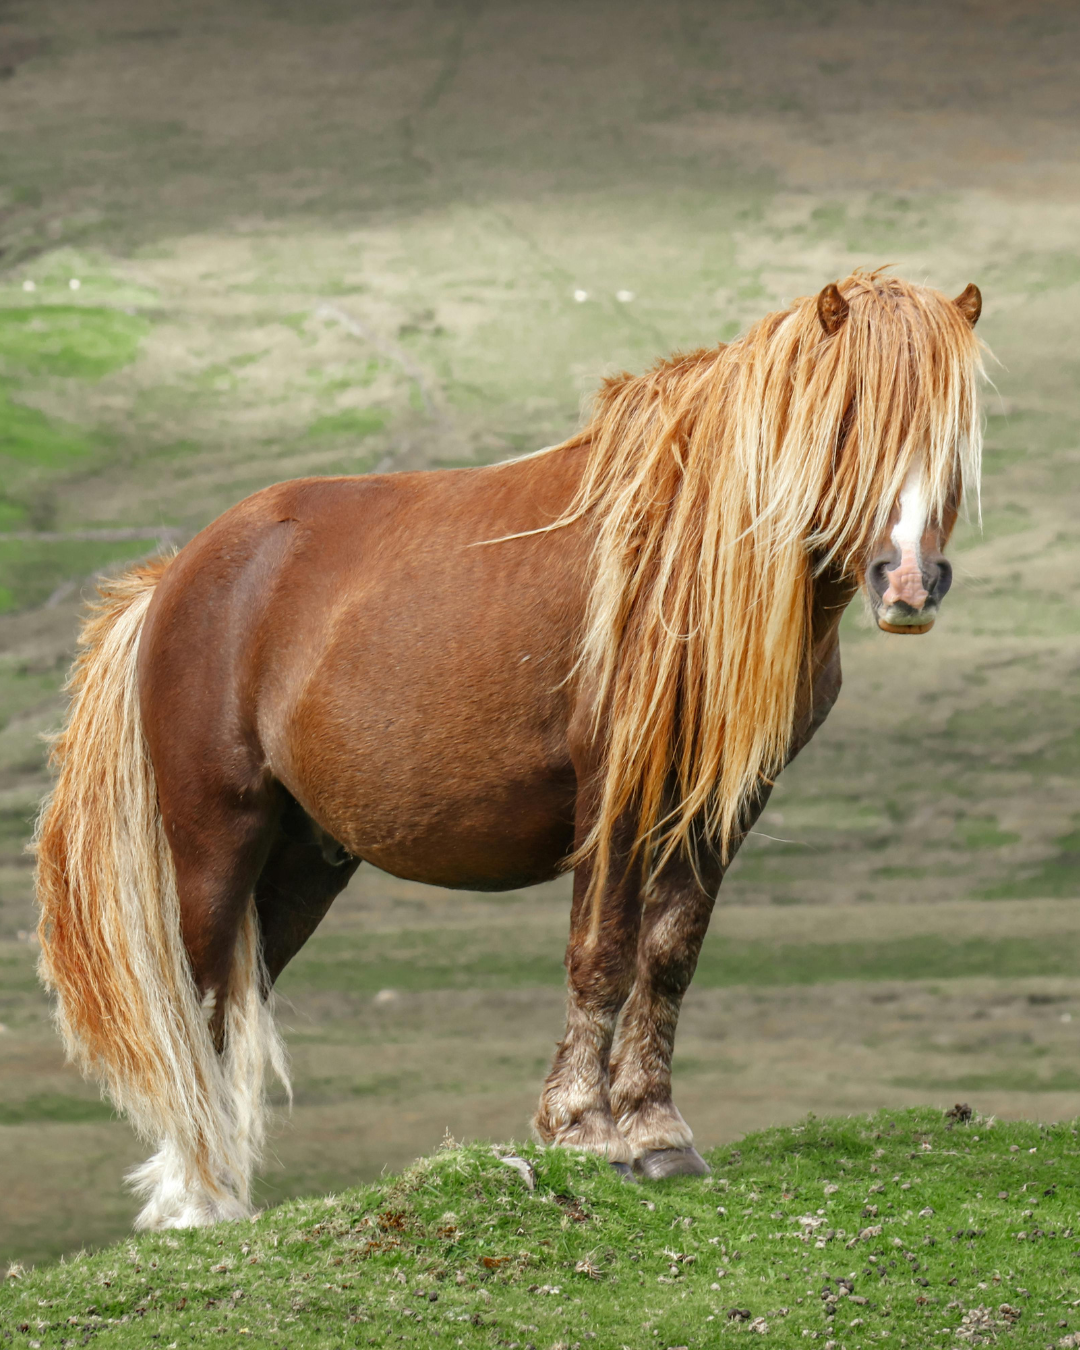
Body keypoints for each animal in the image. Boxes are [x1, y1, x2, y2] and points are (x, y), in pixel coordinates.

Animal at [34, 271, 984, 1229]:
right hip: (216, 834)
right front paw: (584, 1130)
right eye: (850, 417)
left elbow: (669, 954)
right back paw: (195, 1200)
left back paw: (219, 1189)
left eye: (955, 431)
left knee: (240, 993)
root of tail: (175, 578)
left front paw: (658, 1133)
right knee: (196, 996)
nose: (909, 583)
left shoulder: (723, 803)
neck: (685, 553)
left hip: (304, 860)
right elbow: (601, 951)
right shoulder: (612, 792)